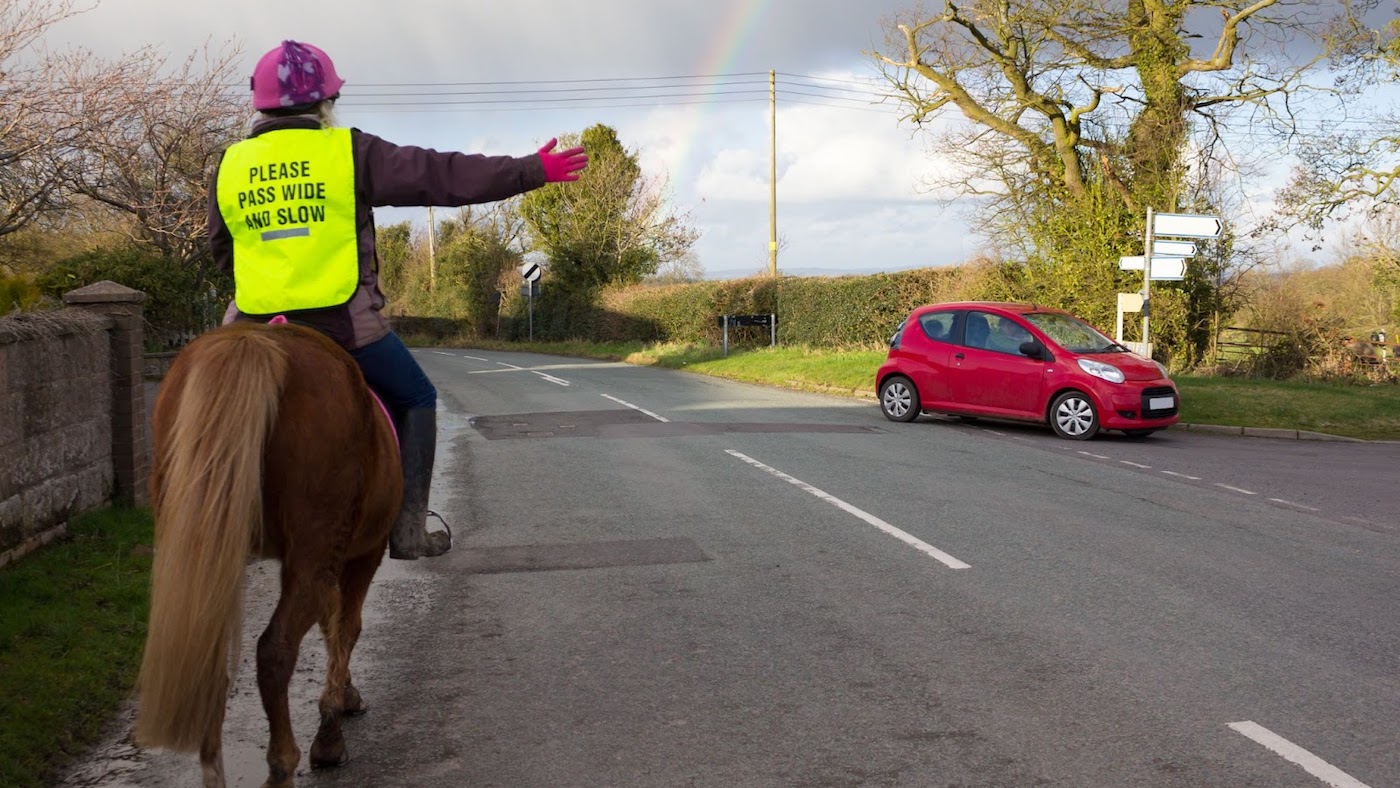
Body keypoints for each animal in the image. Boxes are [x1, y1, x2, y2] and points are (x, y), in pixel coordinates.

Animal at [134, 320, 403, 788]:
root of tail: (255, 342)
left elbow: (332, 625)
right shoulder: (361, 555)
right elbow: (344, 627)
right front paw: (332, 727)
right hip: (316, 552)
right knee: (275, 649)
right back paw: (284, 763)